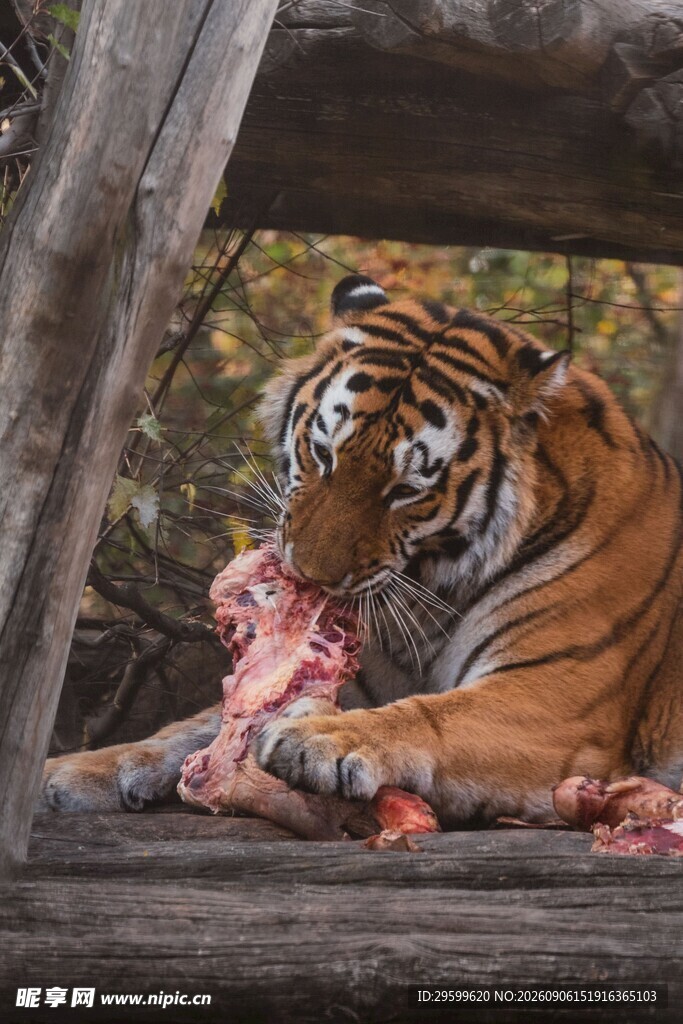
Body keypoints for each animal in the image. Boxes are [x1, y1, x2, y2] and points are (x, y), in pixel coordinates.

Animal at [39, 274, 683, 826]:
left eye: (406, 490)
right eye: (324, 453)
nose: (311, 574)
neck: (436, 590)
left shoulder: (556, 701)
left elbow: (433, 714)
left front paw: (321, 737)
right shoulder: (369, 676)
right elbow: (197, 725)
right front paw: (72, 769)